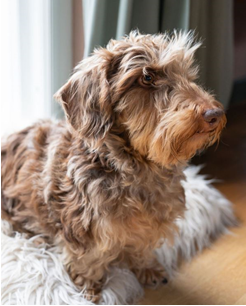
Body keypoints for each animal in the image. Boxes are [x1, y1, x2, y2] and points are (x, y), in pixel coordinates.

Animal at [0, 31, 227, 302]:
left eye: (186, 72)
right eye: (147, 77)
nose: (215, 114)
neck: (135, 168)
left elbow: (142, 245)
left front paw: (147, 268)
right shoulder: (82, 228)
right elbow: (88, 261)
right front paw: (89, 290)